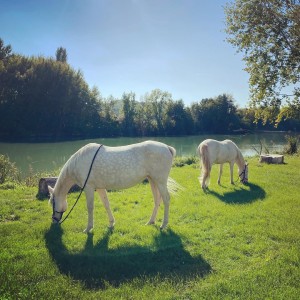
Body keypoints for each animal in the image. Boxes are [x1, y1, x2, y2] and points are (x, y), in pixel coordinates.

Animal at [48, 141, 177, 232]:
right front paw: (111, 223)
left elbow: (90, 207)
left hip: (160, 181)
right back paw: (151, 221)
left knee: (166, 199)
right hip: (152, 180)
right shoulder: (99, 187)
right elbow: (106, 204)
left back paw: (164, 224)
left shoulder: (89, 187)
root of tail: (167, 147)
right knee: (157, 200)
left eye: (52, 202)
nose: (54, 220)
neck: (78, 162)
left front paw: (88, 228)